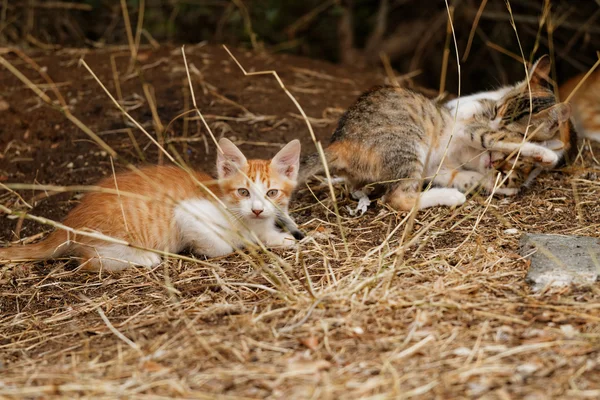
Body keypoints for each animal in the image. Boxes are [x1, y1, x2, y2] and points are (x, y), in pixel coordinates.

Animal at [0, 138, 300, 272]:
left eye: (272, 193)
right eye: (243, 192)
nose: (257, 209)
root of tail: (68, 222)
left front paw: (279, 238)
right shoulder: (187, 212)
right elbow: (223, 245)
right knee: (90, 260)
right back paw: (144, 257)